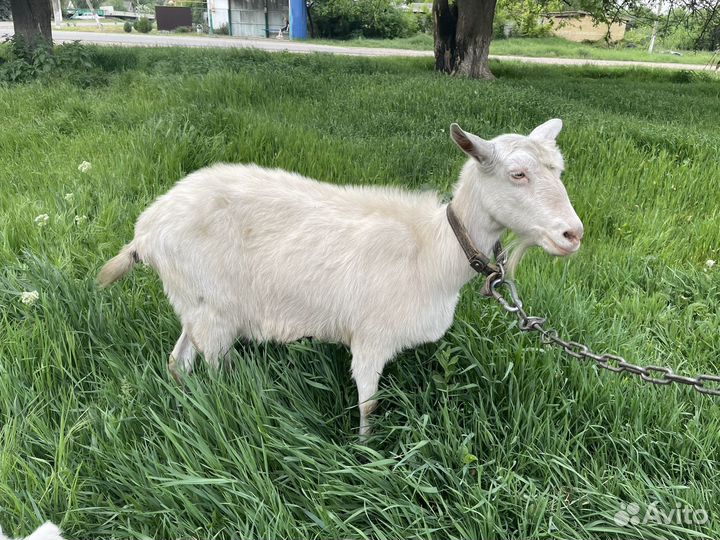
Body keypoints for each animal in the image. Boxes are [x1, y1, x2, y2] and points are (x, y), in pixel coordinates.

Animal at [98, 120, 583, 435]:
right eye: (517, 174)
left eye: (559, 171)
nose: (573, 234)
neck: (432, 250)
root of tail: (146, 231)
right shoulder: (371, 337)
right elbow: (369, 404)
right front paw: (368, 455)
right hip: (215, 312)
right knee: (213, 367)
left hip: (195, 304)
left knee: (178, 361)